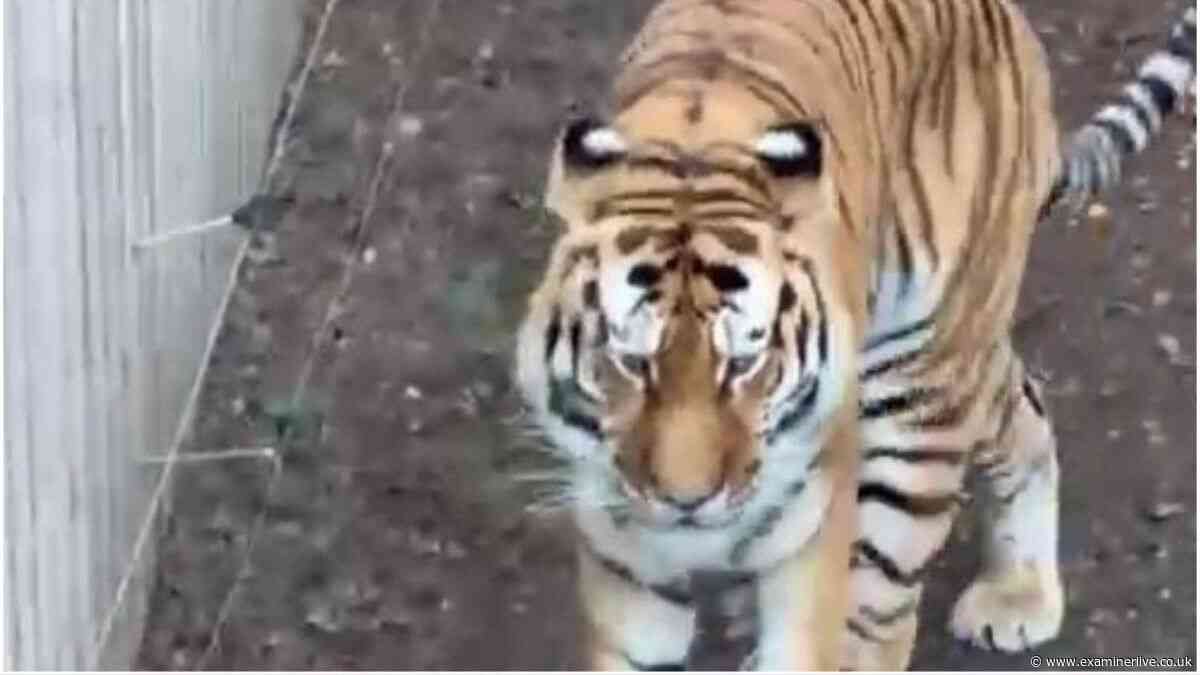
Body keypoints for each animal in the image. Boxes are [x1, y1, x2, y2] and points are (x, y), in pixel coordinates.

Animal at [513, 0, 1196, 670]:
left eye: (745, 362)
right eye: (630, 360)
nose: (687, 502)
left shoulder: (810, 526)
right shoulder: (623, 545)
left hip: (923, 383)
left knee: (882, 603)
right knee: (1023, 403)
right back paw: (1016, 591)